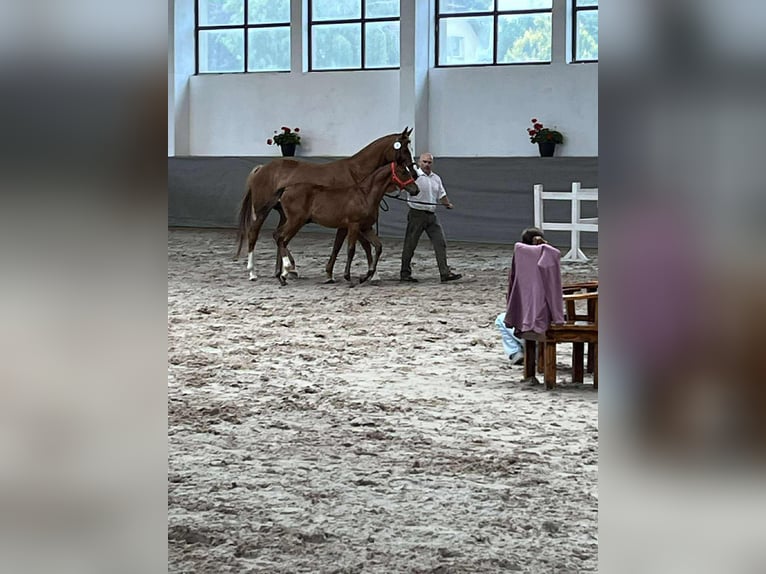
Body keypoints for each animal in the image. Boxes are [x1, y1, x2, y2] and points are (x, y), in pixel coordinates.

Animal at [273, 162, 419, 286]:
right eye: (403, 172)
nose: (416, 190)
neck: (365, 195)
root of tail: (286, 189)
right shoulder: (354, 225)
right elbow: (351, 250)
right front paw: (348, 277)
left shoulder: (366, 228)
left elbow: (378, 247)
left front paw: (365, 277)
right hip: (295, 221)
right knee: (281, 239)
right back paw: (286, 271)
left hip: (293, 222)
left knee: (279, 238)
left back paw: (283, 275)